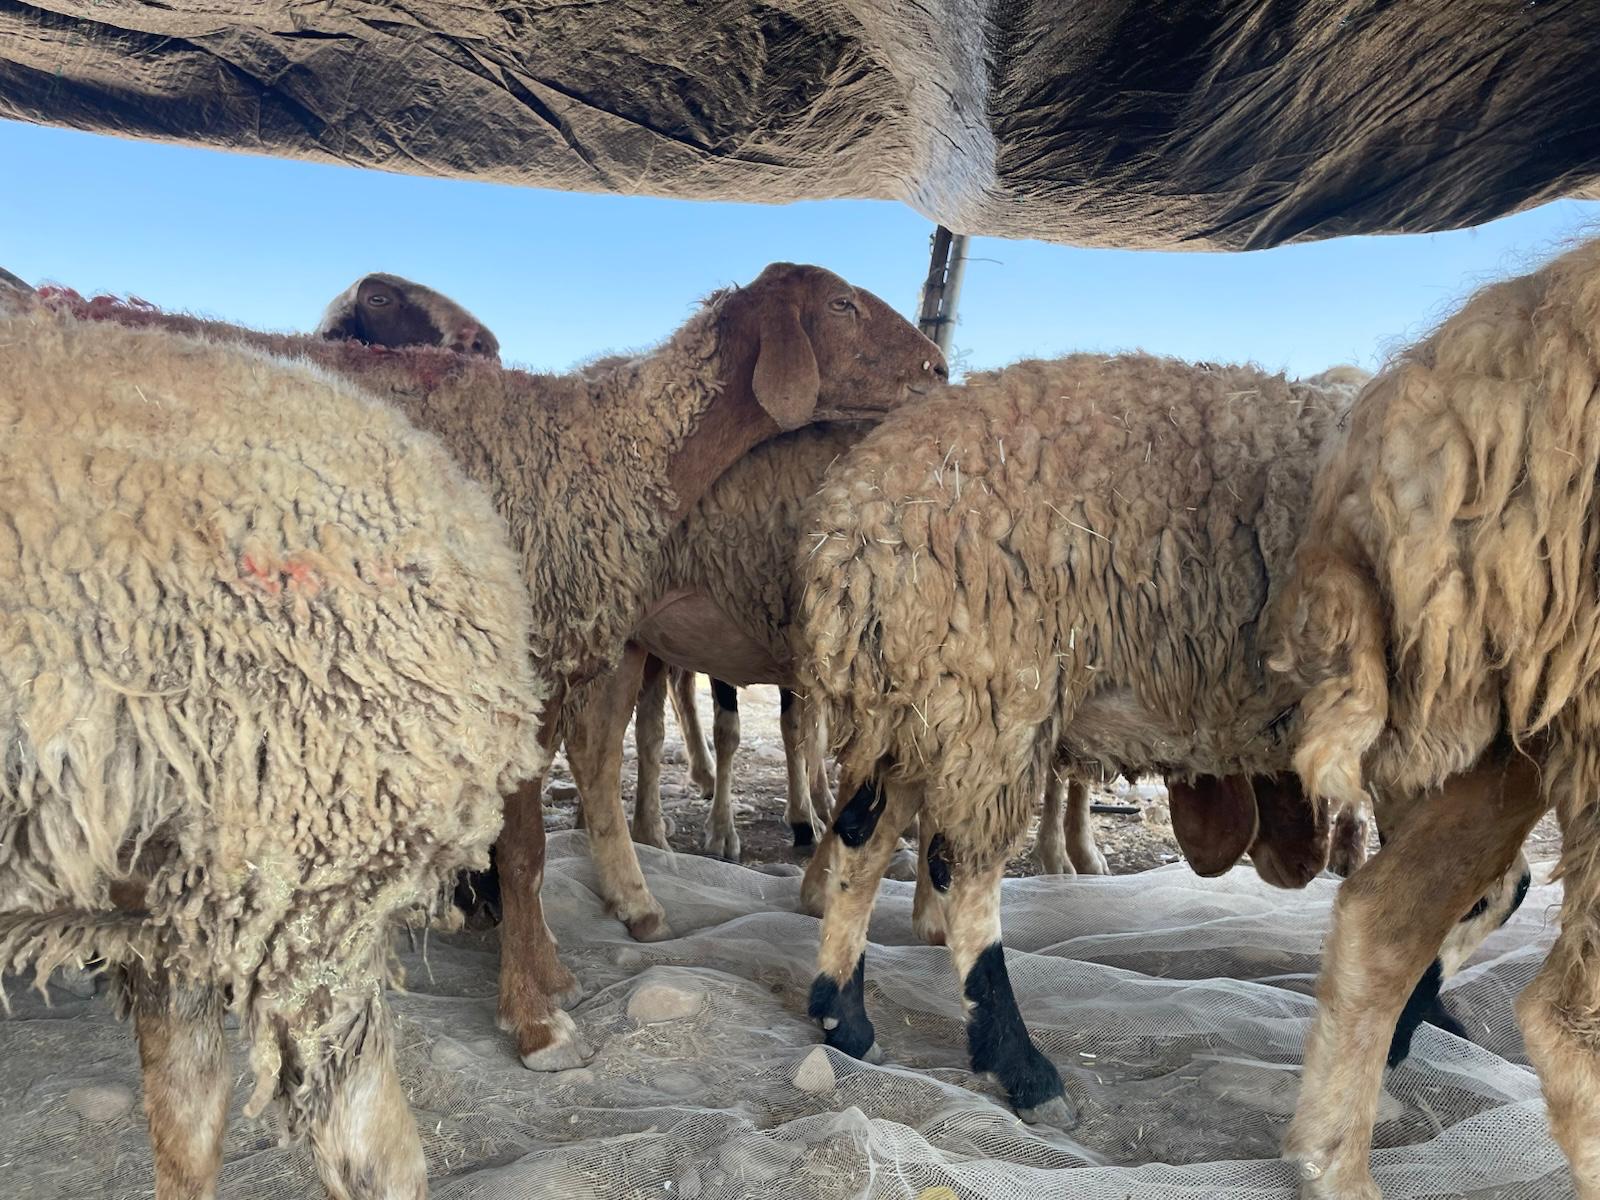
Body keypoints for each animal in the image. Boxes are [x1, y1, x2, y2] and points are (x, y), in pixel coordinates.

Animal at [793, 352, 1358, 1126]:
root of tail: (846, 525)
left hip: (915, 699)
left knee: (861, 837)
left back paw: (842, 1018)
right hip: (992, 690)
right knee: (959, 869)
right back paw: (1022, 1068)